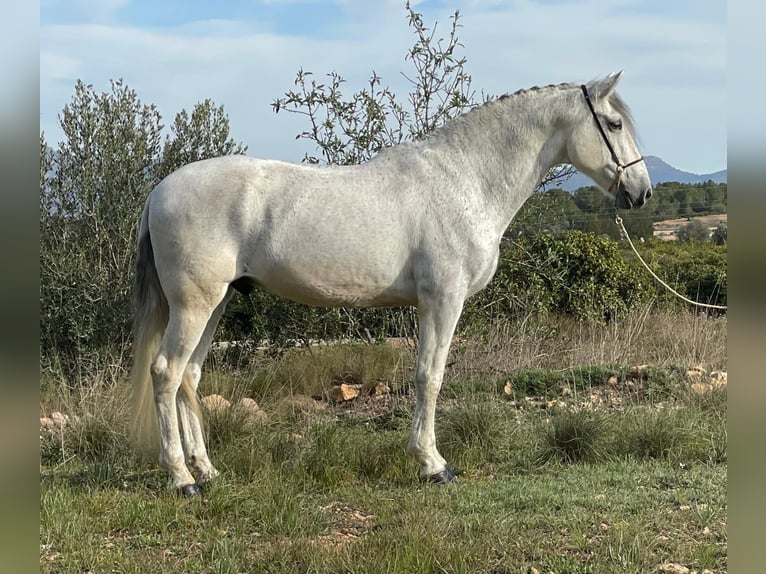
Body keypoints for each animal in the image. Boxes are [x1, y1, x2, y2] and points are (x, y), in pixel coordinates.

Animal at [132, 72, 656, 498]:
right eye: (613, 124)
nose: (642, 193)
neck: (465, 181)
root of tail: (158, 190)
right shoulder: (442, 300)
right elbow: (430, 376)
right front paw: (433, 464)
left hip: (215, 303)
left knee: (190, 377)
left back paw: (207, 471)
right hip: (194, 305)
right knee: (166, 372)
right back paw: (181, 478)